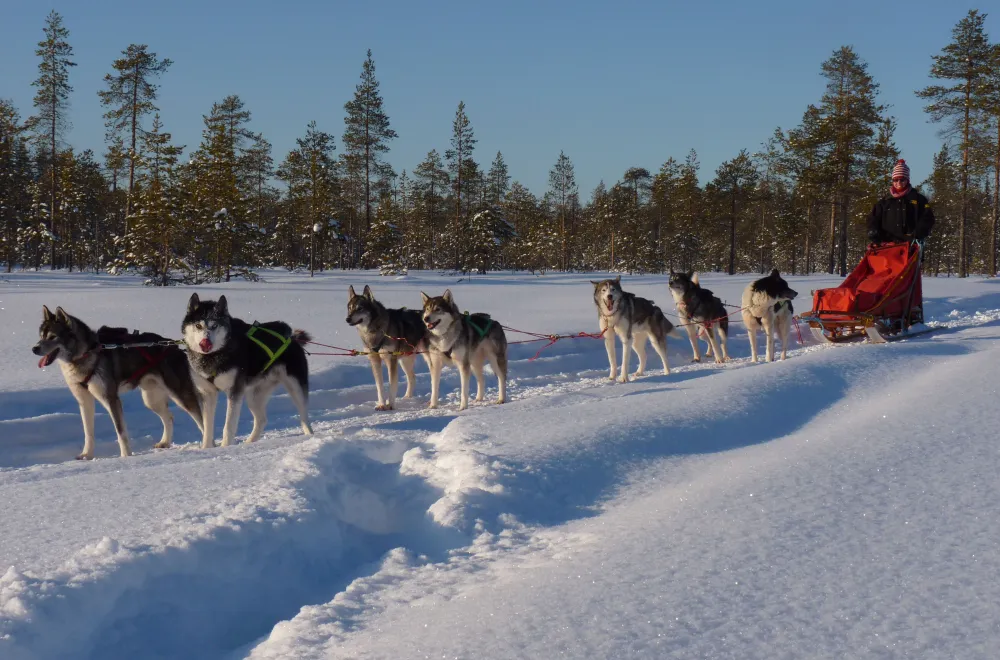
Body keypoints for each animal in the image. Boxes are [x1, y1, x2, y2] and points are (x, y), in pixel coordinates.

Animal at [31, 306, 203, 462]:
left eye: (53, 337)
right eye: (41, 336)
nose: (34, 348)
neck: (86, 354)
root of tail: (176, 347)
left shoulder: (110, 399)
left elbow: (120, 432)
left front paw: (125, 456)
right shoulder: (84, 401)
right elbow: (88, 432)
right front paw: (87, 454)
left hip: (181, 395)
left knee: (201, 418)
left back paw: (207, 445)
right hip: (151, 400)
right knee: (169, 417)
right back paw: (165, 442)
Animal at [181, 294, 312, 448]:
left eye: (214, 325)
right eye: (198, 325)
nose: (205, 343)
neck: (213, 356)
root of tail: (291, 338)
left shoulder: (234, 391)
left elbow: (229, 426)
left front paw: (225, 447)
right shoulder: (207, 393)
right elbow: (207, 427)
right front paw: (207, 448)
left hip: (295, 389)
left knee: (304, 416)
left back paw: (310, 435)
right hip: (254, 397)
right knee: (262, 420)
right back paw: (249, 442)